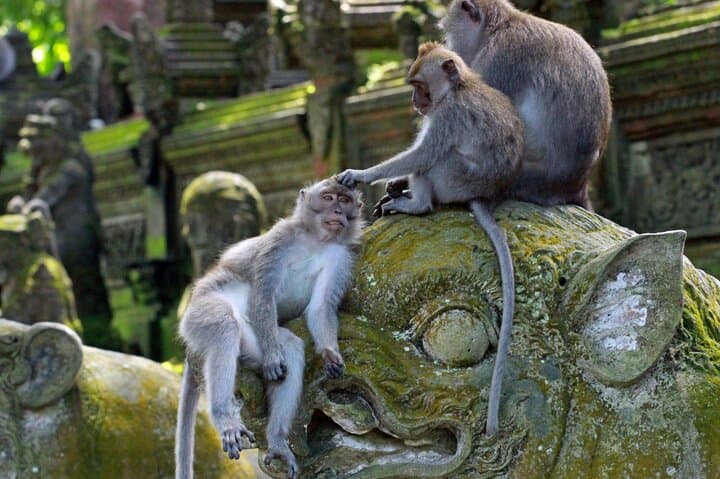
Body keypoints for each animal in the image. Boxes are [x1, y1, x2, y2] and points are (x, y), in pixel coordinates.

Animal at [175, 179, 363, 479]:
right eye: (328, 197)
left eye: (344, 200)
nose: (337, 210)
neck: (315, 240)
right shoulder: (281, 239)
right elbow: (263, 294)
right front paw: (276, 357)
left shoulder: (341, 257)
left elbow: (321, 307)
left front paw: (330, 353)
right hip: (200, 314)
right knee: (225, 327)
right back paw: (224, 417)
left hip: (254, 338)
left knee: (291, 348)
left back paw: (276, 441)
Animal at [336, 42, 523, 436]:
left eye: (419, 84)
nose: (414, 100)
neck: (458, 88)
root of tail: (483, 195)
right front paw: (392, 183)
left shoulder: (447, 116)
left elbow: (421, 154)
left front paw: (362, 175)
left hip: (454, 178)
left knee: (434, 160)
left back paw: (416, 204)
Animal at [441, 0, 612, 209]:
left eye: (449, 34)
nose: (450, 48)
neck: (499, 27)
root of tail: (578, 186)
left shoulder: (499, 59)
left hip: (526, 179)